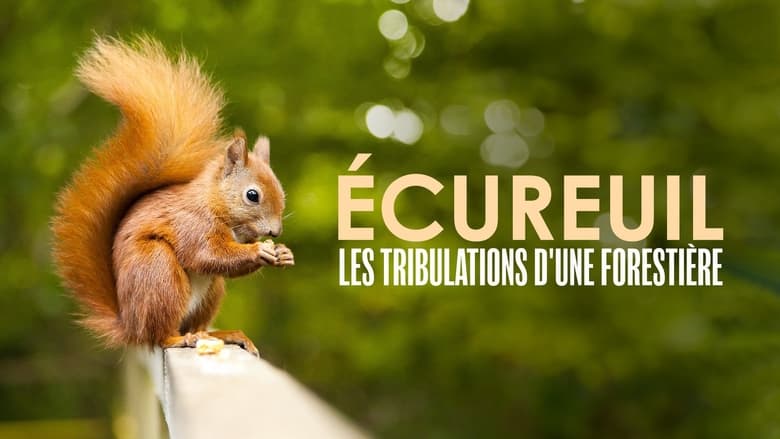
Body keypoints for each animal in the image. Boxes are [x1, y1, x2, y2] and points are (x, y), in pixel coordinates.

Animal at [51, 36, 293, 356]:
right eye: (252, 195)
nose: (275, 232)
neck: (214, 203)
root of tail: (131, 326)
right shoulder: (192, 224)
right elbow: (208, 254)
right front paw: (259, 251)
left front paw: (283, 253)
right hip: (159, 272)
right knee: (160, 335)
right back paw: (179, 339)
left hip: (210, 291)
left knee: (197, 323)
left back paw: (224, 334)